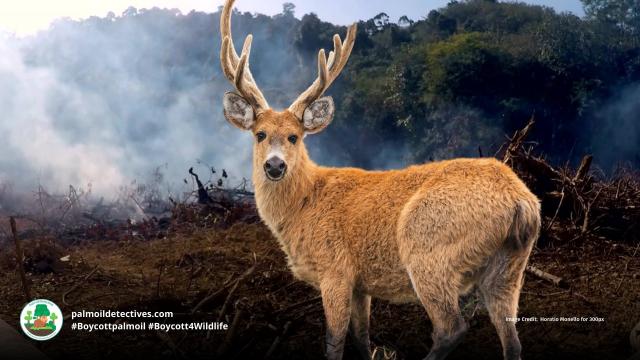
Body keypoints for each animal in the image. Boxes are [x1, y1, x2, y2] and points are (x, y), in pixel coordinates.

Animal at [216, 1, 540, 358]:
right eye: (259, 134)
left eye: (294, 136)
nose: (275, 166)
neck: (304, 205)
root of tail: (522, 203)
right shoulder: (362, 284)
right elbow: (362, 336)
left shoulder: (336, 269)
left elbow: (334, 340)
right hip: (510, 268)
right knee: (512, 339)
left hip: (430, 253)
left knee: (451, 327)